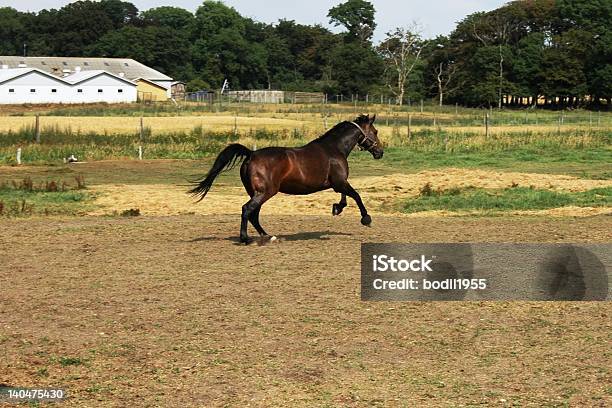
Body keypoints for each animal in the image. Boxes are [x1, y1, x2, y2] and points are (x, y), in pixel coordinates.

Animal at [189, 113, 384, 244]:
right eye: (375, 131)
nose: (380, 153)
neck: (334, 149)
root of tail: (251, 154)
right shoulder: (340, 182)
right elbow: (356, 196)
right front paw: (366, 219)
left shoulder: (338, 184)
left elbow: (346, 197)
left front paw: (337, 208)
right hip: (265, 192)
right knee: (247, 209)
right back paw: (246, 239)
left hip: (258, 192)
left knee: (254, 214)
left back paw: (268, 236)